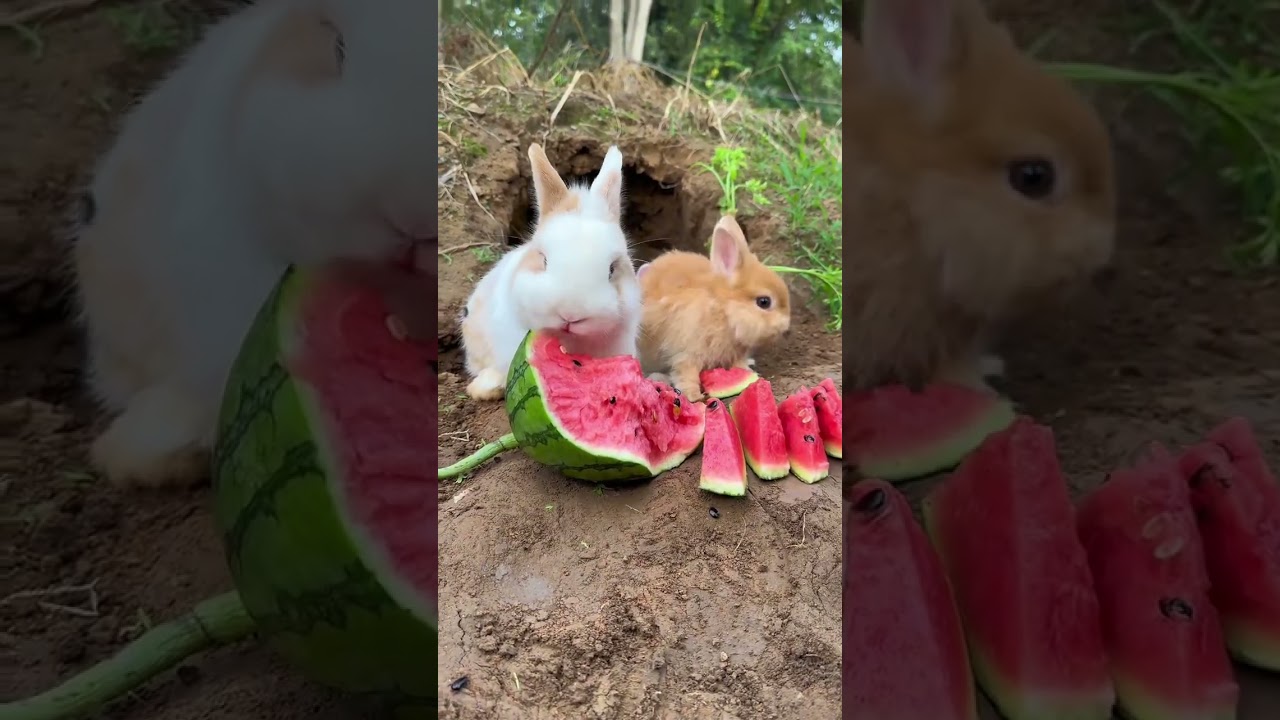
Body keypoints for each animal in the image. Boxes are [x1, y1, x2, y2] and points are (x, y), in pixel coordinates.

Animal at [636, 214, 791, 402]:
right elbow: (686, 375)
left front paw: (747, 371)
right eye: (764, 302)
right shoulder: (686, 354)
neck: (723, 309)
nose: (786, 327)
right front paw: (693, 396)